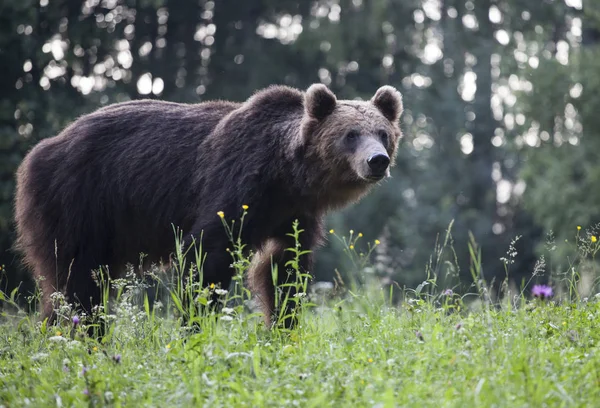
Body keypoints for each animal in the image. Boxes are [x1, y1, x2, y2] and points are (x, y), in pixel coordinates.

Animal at [14, 83, 406, 328]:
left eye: (383, 133)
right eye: (350, 134)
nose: (377, 160)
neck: (288, 176)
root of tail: (42, 148)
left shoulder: (294, 215)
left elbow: (285, 269)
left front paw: (283, 325)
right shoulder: (236, 186)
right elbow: (206, 255)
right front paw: (195, 325)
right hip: (78, 199)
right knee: (76, 278)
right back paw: (84, 333)